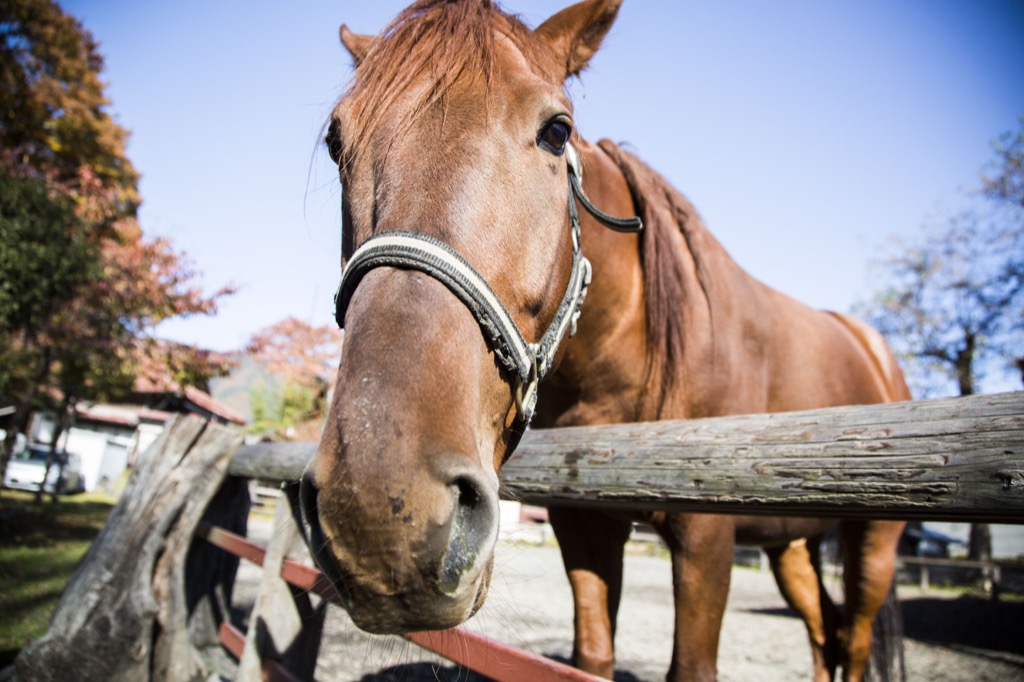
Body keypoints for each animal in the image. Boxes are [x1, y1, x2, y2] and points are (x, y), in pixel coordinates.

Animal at [299, 2, 913, 675]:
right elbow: (590, 653)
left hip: (872, 544)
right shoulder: (583, 527)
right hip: (793, 547)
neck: (630, 360)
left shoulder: (706, 539)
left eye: (556, 131)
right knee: (823, 631)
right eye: (335, 142)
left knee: (853, 638)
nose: (378, 512)